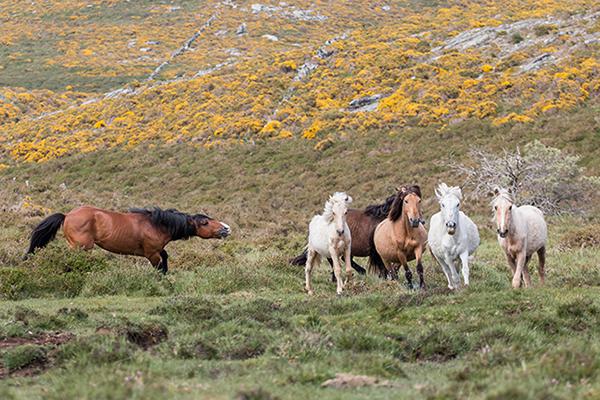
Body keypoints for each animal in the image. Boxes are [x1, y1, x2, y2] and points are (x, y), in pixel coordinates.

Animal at [24, 206, 230, 276]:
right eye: (205, 222)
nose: (226, 228)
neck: (157, 224)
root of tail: (67, 215)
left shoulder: (157, 251)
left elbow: (165, 259)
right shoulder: (151, 253)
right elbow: (158, 267)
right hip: (82, 247)